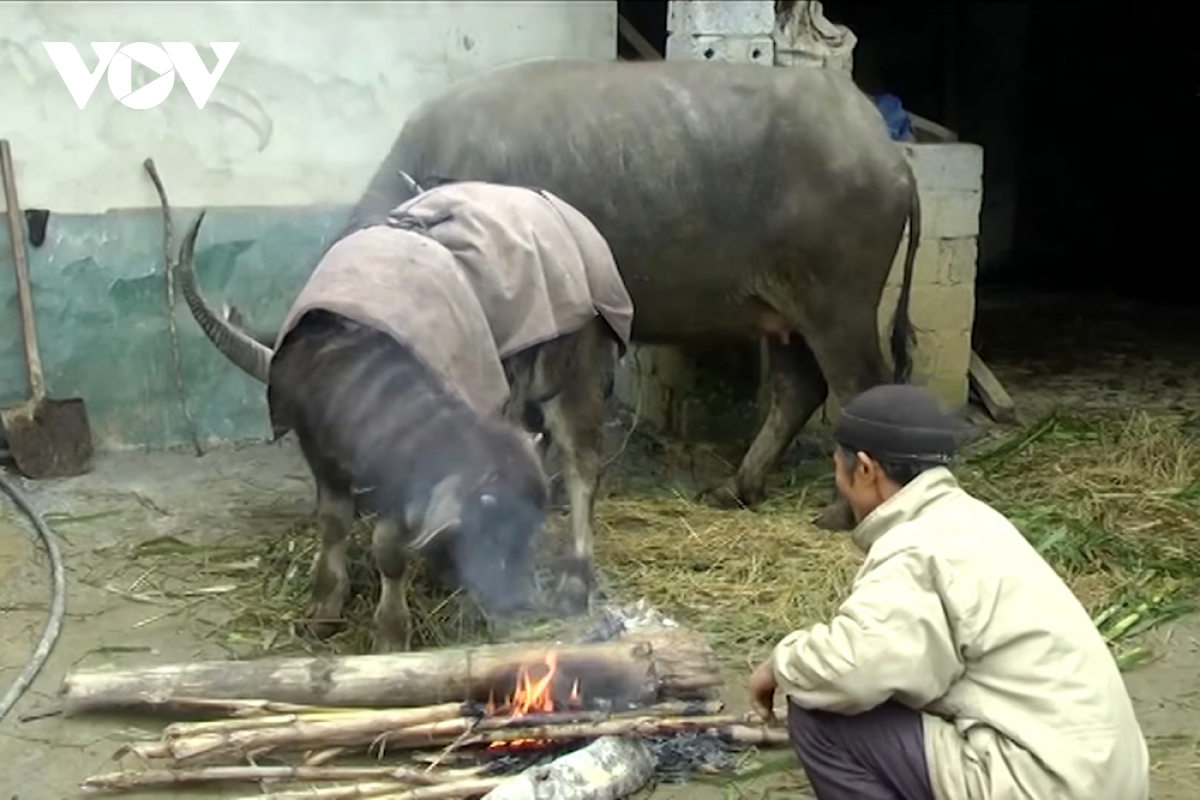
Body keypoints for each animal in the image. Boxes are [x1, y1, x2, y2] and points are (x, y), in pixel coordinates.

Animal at [345, 57, 916, 532]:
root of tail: (884, 149)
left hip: (837, 305)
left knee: (859, 388)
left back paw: (839, 513)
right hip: (787, 312)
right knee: (799, 388)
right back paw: (735, 488)